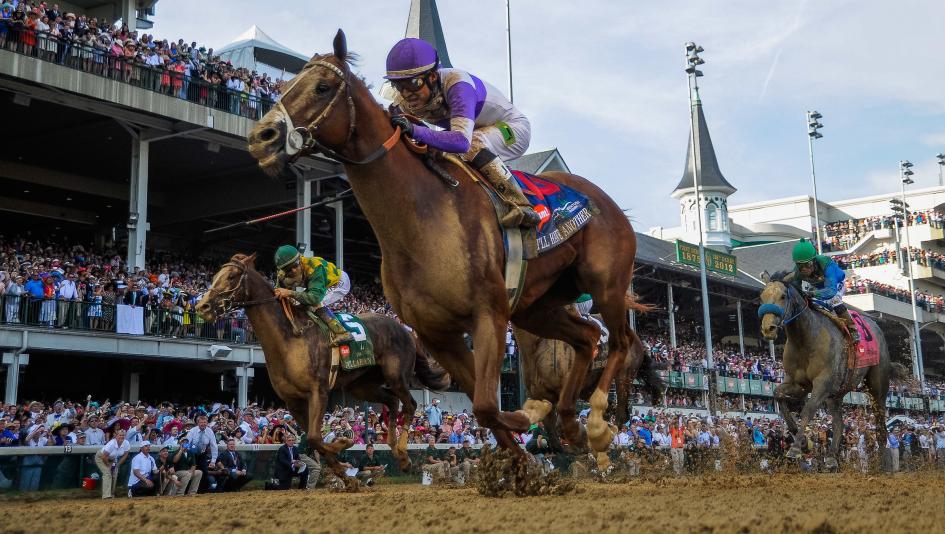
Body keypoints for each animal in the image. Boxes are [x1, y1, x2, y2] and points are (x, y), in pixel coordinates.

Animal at [195, 253, 450, 488]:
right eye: (215, 275)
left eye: (232, 276)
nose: (201, 306)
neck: (290, 338)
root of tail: (406, 330)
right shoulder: (292, 400)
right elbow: (312, 439)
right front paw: (346, 475)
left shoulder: (319, 390)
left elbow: (315, 437)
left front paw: (343, 445)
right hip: (361, 386)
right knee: (392, 402)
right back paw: (394, 449)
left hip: (396, 376)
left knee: (410, 404)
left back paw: (404, 456)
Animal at [245, 30, 640, 464]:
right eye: (286, 84)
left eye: (322, 86)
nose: (261, 138)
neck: (424, 218)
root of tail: (610, 204)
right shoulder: (437, 334)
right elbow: (484, 408)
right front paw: (526, 447)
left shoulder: (488, 315)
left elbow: (487, 405)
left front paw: (527, 420)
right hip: (537, 307)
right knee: (586, 337)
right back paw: (570, 420)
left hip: (604, 284)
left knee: (620, 342)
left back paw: (598, 422)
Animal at [756, 274, 888, 472]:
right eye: (762, 296)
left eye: (782, 296)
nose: (768, 329)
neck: (805, 339)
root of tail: (877, 327)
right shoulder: (799, 384)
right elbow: (778, 394)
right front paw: (802, 440)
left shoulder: (823, 383)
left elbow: (808, 409)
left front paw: (796, 448)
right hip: (838, 392)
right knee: (839, 422)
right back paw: (832, 457)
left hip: (877, 386)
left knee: (880, 424)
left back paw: (883, 464)